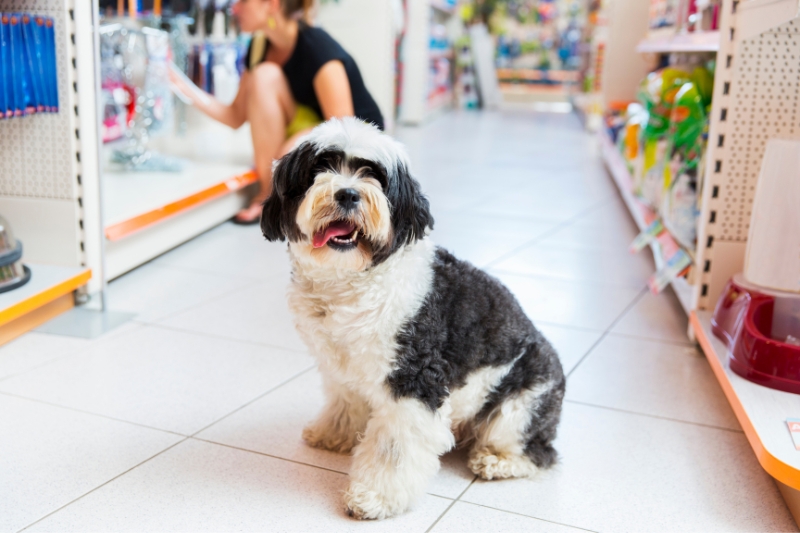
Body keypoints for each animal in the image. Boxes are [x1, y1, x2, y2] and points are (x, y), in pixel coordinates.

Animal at [260, 117, 564, 520]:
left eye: (374, 175)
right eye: (319, 168)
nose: (348, 194)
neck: (351, 281)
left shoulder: (414, 381)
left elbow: (395, 448)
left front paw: (375, 497)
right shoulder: (341, 367)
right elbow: (345, 402)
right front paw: (335, 433)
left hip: (521, 405)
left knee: (538, 452)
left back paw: (497, 461)